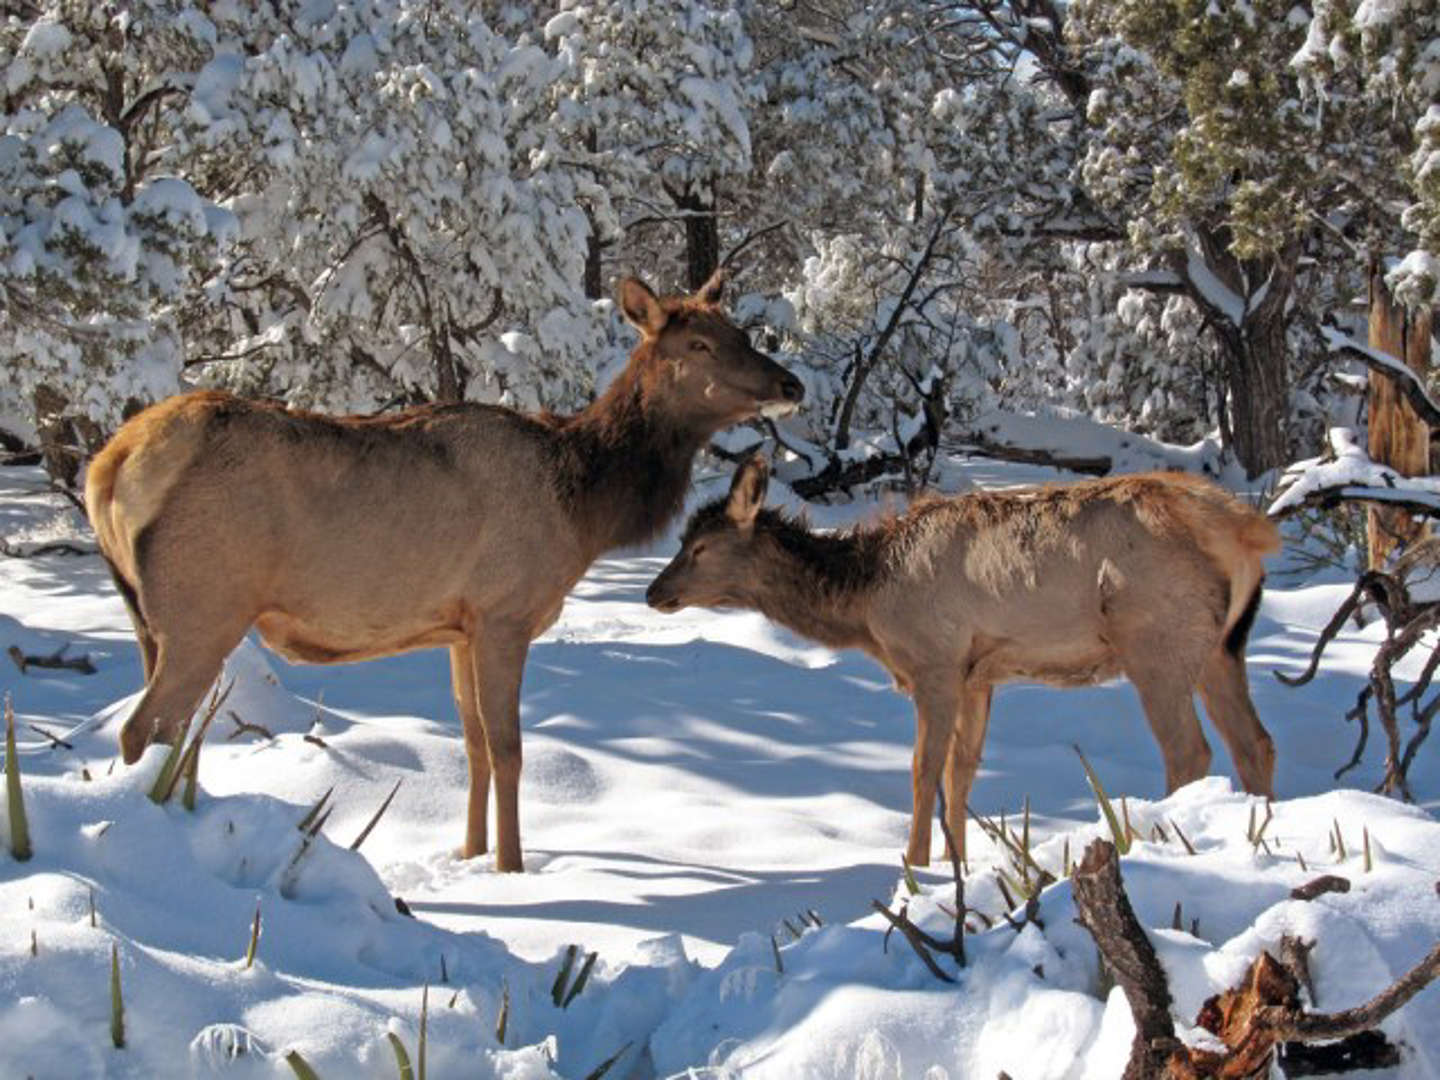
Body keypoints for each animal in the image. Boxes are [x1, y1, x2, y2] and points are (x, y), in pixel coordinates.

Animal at [84, 270, 806, 869]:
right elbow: (511, 749)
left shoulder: (458, 628)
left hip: (147, 619)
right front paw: (511, 869)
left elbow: (474, 746)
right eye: (699, 345)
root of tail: (109, 464)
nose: (790, 385)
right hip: (204, 609)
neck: (584, 505)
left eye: (740, 332)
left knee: (165, 732)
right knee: (144, 727)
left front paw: (467, 853)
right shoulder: (503, 613)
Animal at [648, 460, 1278, 869]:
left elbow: (922, 769)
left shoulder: (935, 661)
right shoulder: (979, 675)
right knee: (1256, 742)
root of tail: (1248, 532)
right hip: (1222, 646)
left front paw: (914, 868)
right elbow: (961, 772)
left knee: (1190, 752)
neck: (866, 602)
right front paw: (960, 870)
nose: (654, 592)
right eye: (681, 540)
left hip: (1156, 640)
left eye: (699, 547)